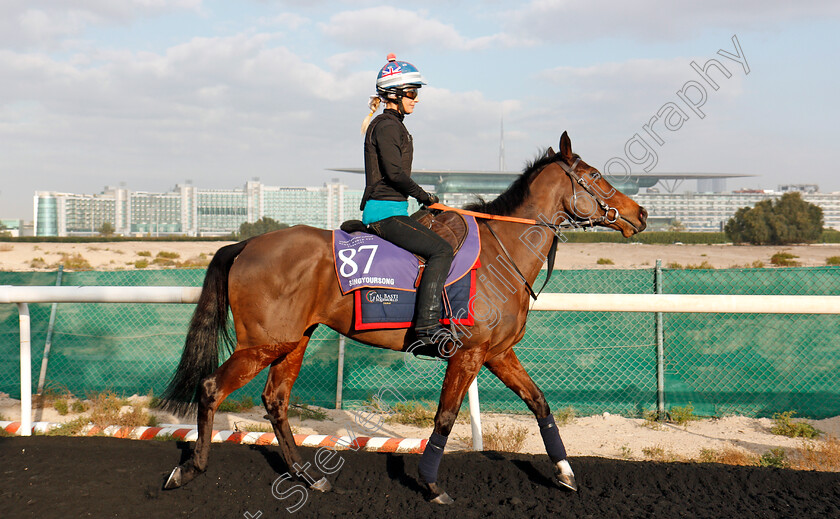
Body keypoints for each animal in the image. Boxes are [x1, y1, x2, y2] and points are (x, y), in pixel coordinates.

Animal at [161, 133, 648, 504]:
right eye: (595, 177)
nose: (640, 214)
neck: (502, 250)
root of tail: (245, 244)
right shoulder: (468, 353)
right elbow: (445, 417)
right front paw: (432, 486)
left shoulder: (498, 353)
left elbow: (539, 402)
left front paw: (565, 473)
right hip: (264, 343)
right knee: (212, 388)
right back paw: (189, 470)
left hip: (293, 341)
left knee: (276, 401)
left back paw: (308, 476)